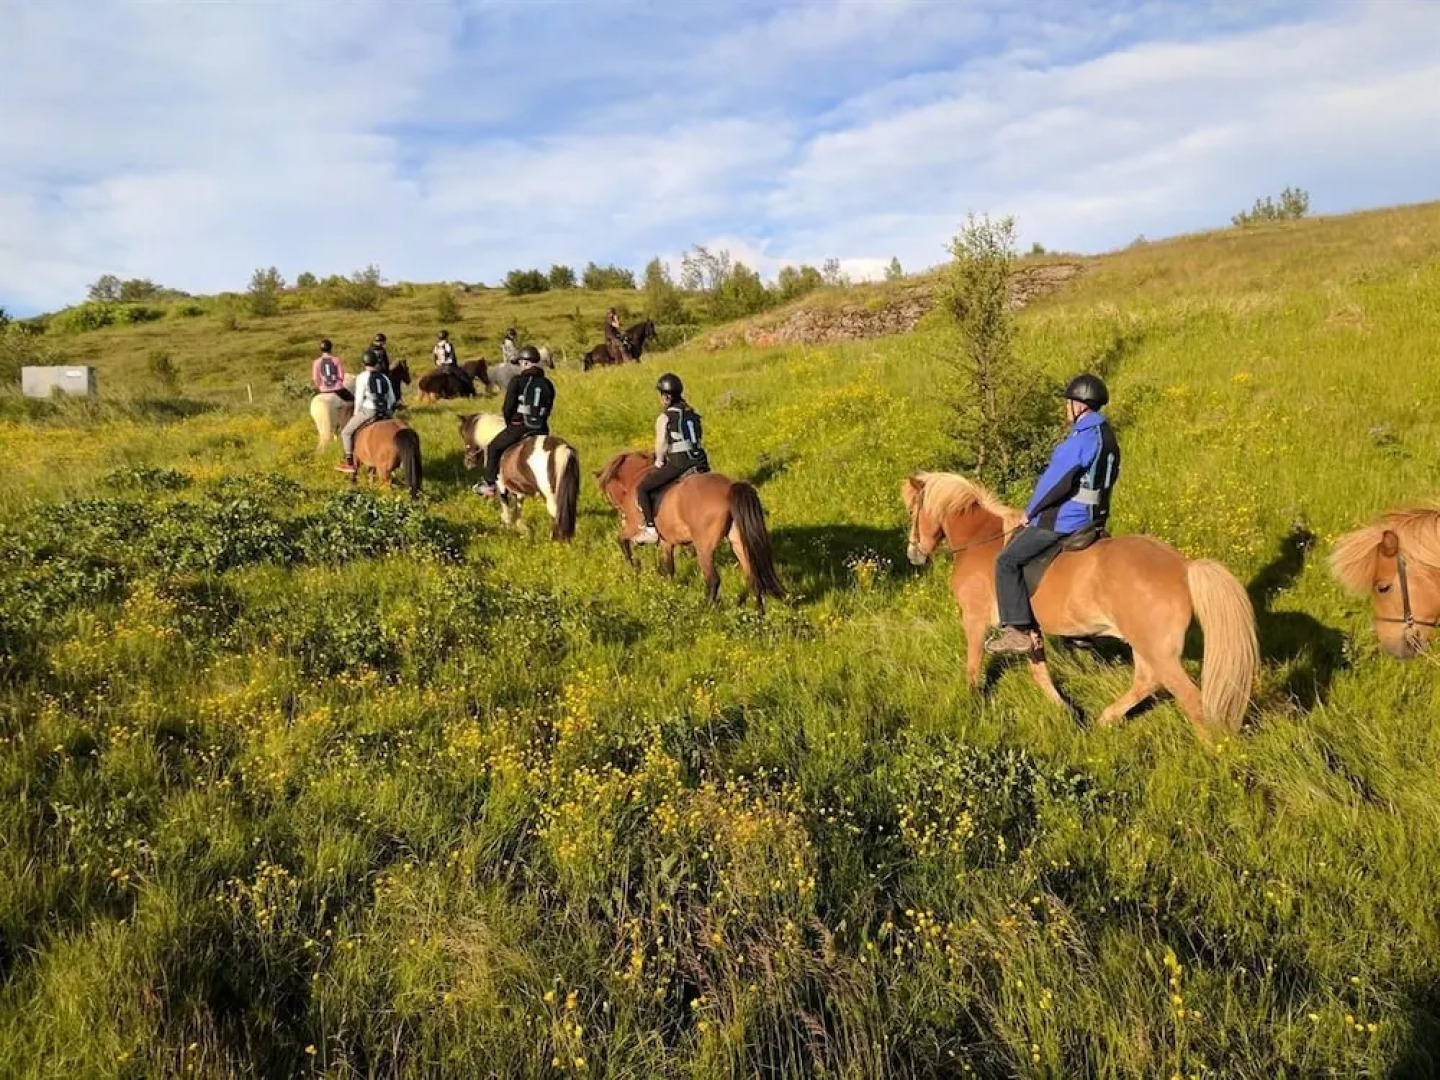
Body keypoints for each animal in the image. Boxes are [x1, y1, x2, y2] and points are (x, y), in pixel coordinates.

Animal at [595, 451, 784, 612]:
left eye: (607, 490)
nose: (621, 515)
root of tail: (730, 487)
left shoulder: (633, 528)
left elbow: (621, 540)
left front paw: (633, 566)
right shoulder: (667, 542)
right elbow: (668, 568)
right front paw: (670, 590)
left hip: (703, 547)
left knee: (713, 579)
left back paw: (707, 610)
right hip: (738, 542)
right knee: (752, 576)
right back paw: (759, 613)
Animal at [902, 472, 1258, 738]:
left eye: (910, 512)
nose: (914, 554)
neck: (979, 541)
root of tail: (1183, 567)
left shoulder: (974, 620)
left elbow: (973, 667)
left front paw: (970, 704)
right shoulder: (1029, 632)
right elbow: (1040, 675)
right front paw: (1068, 713)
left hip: (1157, 650)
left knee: (1190, 700)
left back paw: (1213, 756)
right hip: (1146, 645)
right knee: (1147, 681)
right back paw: (1106, 719)